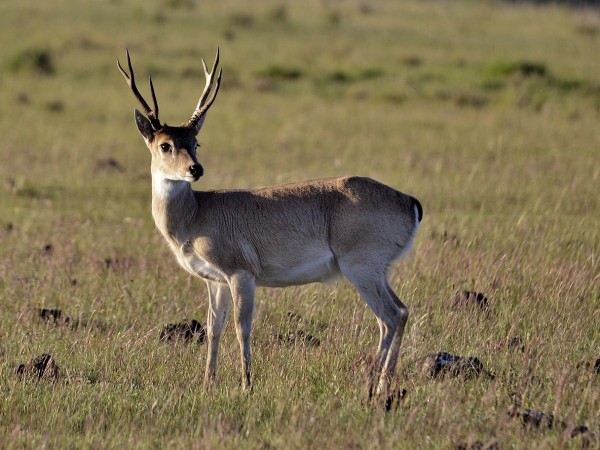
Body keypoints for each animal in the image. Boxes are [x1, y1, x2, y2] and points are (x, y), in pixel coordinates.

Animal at [118, 48, 422, 400]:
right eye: (165, 144)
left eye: (195, 143)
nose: (195, 169)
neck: (197, 214)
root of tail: (410, 201)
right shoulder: (215, 281)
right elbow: (213, 329)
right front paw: (208, 383)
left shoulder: (241, 275)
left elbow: (242, 328)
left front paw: (246, 384)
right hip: (378, 271)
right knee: (402, 311)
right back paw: (383, 386)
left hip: (361, 268)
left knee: (389, 316)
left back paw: (372, 387)